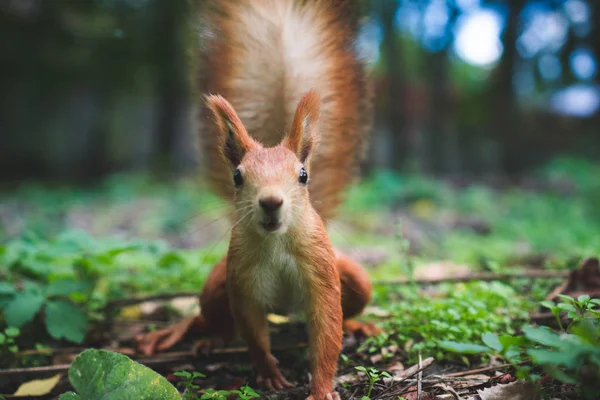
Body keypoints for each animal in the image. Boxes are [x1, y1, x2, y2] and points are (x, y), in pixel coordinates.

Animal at [138, 1, 378, 398]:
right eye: (237, 177)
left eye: (303, 175)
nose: (270, 202)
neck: (276, 242)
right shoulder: (242, 281)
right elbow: (252, 331)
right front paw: (269, 374)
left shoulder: (322, 275)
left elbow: (328, 331)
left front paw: (321, 387)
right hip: (216, 284)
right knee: (213, 319)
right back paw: (191, 335)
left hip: (353, 277)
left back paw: (360, 327)